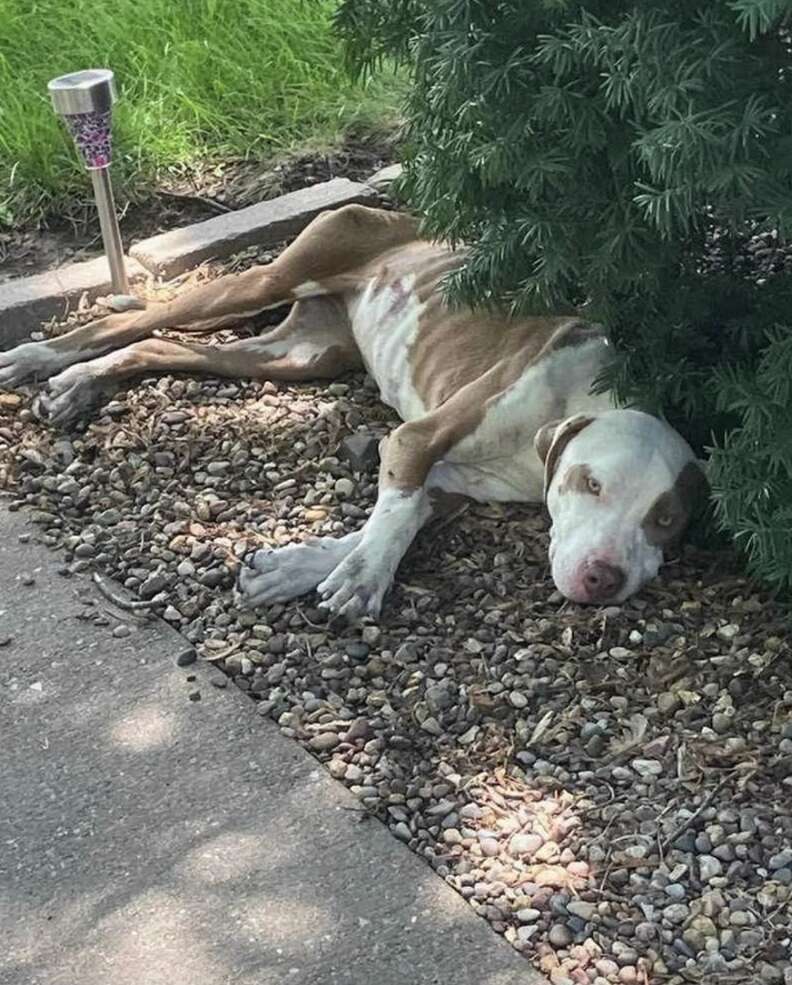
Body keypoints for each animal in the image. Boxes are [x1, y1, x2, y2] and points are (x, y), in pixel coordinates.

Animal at [0, 202, 704, 616]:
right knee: (134, 322)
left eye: (665, 521)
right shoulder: (415, 441)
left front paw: (292, 568)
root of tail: (393, 208)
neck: (581, 395)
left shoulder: (452, 484)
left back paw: (82, 383)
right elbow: (391, 516)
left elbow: (392, 515)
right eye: (591, 483)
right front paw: (363, 576)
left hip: (299, 355)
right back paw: (47, 362)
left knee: (158, 343)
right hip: (270, 279)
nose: (605, 578)